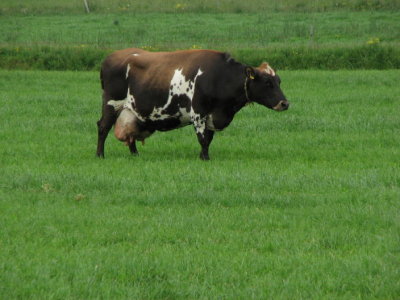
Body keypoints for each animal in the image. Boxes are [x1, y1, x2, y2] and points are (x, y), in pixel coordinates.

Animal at [95, 47, 290, 159]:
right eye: (268, 83)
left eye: (279, 81)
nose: (285, 103)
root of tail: (110, 57)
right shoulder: (198, 113)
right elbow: (202, 139)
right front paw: (205, 158)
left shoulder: (212, 116)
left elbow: (208, 139)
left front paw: (202, 156)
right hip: (111, 104)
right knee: (103, 127)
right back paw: (100, 155)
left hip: (132, 112)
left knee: (130, 134)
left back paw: (135, 155)